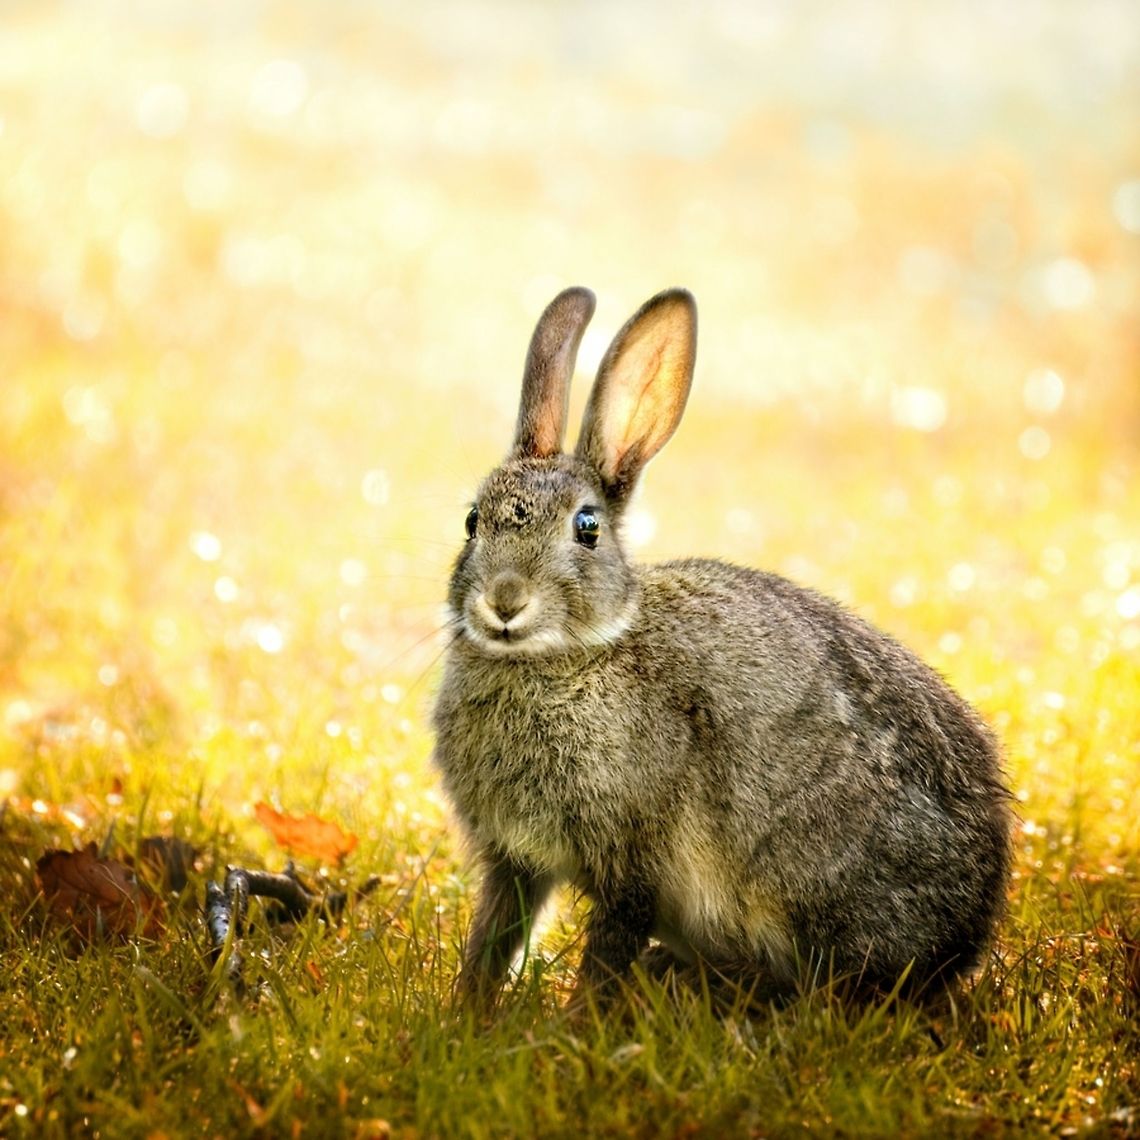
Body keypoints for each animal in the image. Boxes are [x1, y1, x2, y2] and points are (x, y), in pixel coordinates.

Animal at [432, 286, 1012, 1008]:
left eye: (587, 527)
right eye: (471, 521)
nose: (504, 600)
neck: (568, 658)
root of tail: (966, 938)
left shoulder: (635, 855)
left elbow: (611, 941)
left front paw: (576, 1021)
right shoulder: (514, 857)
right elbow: (495, 935)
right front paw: (465, 1012)